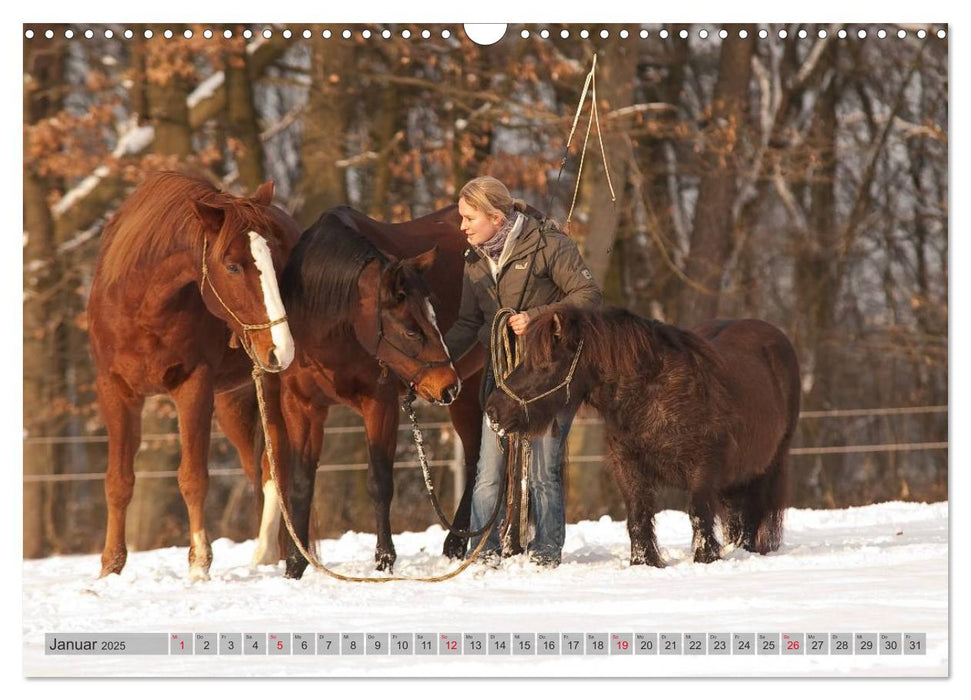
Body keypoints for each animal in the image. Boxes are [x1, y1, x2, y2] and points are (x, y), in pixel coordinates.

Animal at [87, 172, 300, 584]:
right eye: (232, 266)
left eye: (279, 263)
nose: (281, 348)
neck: (142, 305)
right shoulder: (115, 389)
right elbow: (117, 481)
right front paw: (110, 568)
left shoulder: (193, 385)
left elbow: (193, 477)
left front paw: (199, 565)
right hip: (236, 401)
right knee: (262, 466)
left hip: (272, 386)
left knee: (279, 464)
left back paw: (274, 553)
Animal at [215, 205, 484, 576]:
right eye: (411, 330)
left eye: (434, 316)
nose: (447, 383)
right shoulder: (302, 406)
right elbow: (301, 484)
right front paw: (296, 565)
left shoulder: (380, 404)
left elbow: (380, 481)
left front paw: (384, 559)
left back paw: (459, 542)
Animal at [482, 308, 800, 568]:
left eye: (545, 363)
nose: (493, 411)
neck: (653, 392)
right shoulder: (628, 466)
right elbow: (638, 515)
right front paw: (644, 562)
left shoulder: (703, 468)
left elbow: (698, 513)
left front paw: (705, 558)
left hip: (765, 468)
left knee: (751, 516)